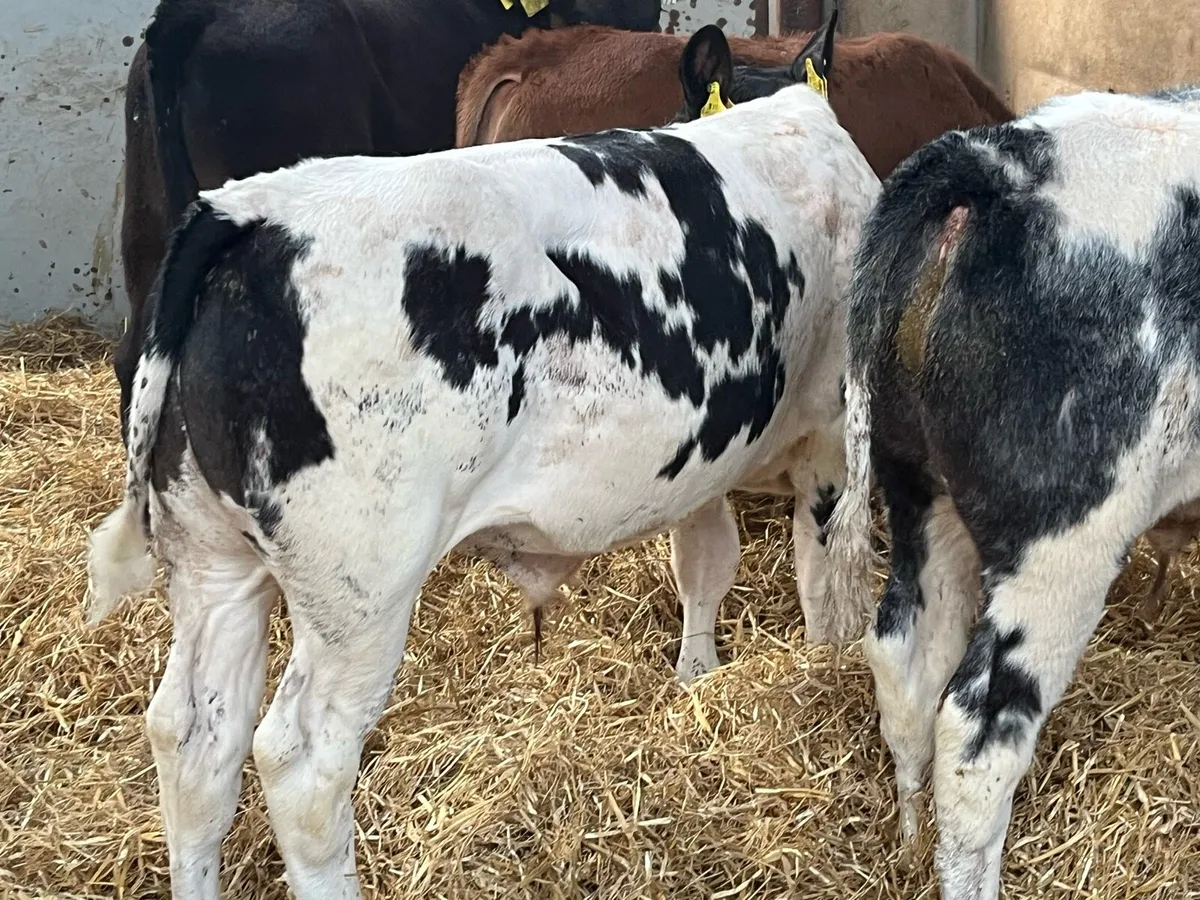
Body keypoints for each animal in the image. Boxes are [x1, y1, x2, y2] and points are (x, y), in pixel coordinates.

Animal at [825, 84, 1200, 900]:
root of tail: (987, 165)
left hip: (918, 486)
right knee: (977, 738)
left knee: (904, 656)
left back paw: (908, 846)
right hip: (1063, 544)